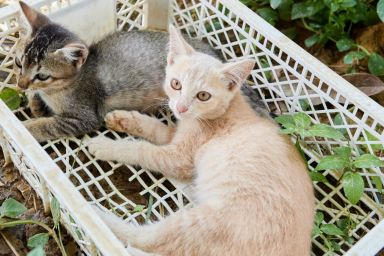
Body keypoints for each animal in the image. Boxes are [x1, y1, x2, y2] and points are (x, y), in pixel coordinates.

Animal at [15, 1, 268, 142]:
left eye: (42, 75)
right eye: (19, 64)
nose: (20, 84)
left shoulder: (83, 118)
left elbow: (48, 125)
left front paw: (26, 128)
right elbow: (38, 102)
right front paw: (34, 102)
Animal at [88, 25, 316, 255]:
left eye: (203, 96)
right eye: (176, 84)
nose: (181, 108)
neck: (226, 110)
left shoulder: (178, 158)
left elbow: (142, 150)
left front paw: (105, 146)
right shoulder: (178, 134)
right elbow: (156, 128)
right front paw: (123, 119)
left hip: (201, 223)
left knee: (145, 239)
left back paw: (98, 215)